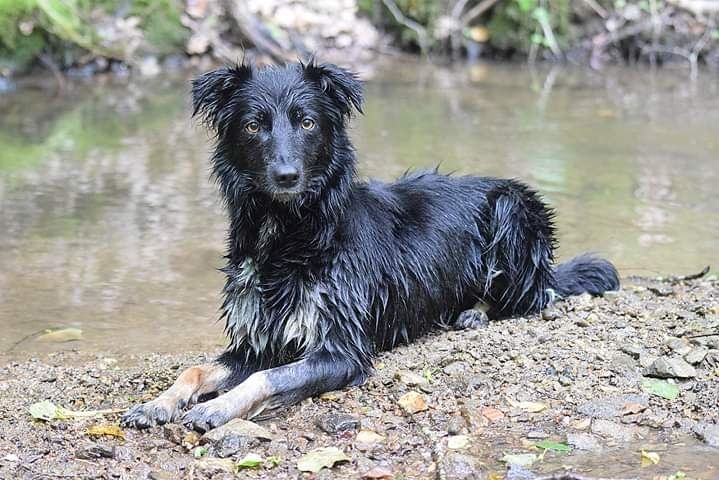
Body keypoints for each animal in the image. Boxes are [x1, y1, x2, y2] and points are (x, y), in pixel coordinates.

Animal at [121, 61, 620, 432]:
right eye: (252, 126)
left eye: (307, 122)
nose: (286, 176)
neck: (289, 233)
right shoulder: (254, 341)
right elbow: (196, 370)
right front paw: (157, 403)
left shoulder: (340, 350)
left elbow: (267, 377)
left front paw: (216, 408)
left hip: (511, 212)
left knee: (536, 296)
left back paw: (476, 312)